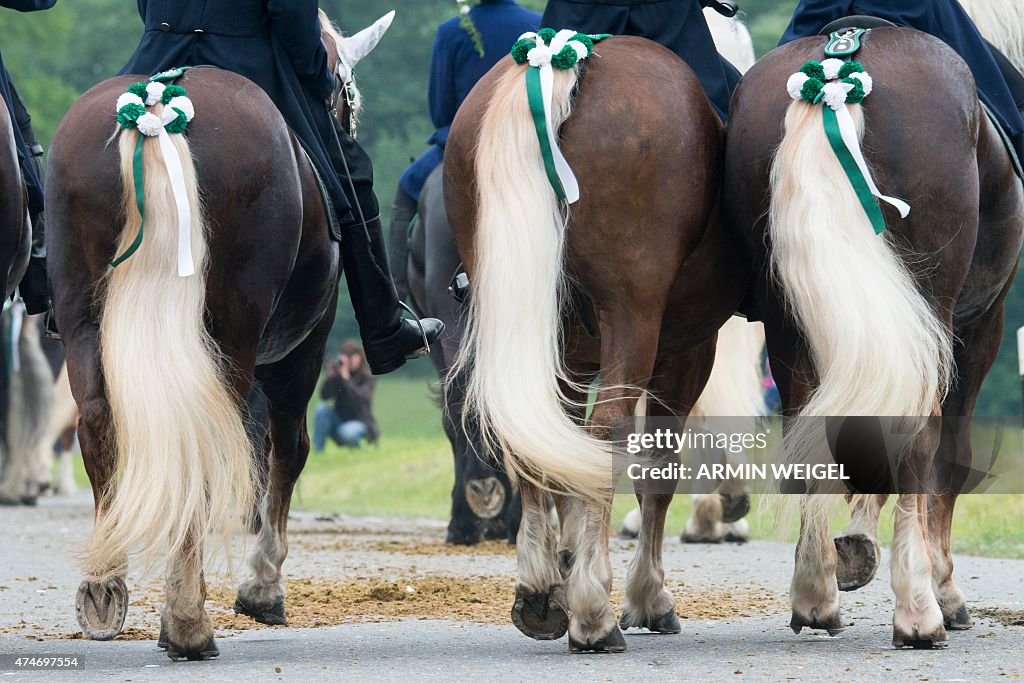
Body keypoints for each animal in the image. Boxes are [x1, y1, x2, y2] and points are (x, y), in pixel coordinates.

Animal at [44, 12, 389, 663]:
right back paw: (187, 622)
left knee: (98, 420)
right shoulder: (303, 350)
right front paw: (262, 586)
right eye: (346, 96)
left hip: (81, 317)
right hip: (235, 331)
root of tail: (156, 108)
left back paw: (104, 587)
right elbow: (287, 449)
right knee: (213, 439)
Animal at [444, 36, 749, 651]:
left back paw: (539, 591)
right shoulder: (685, 352)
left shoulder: (575, 356)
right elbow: (656, 467)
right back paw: (593, 612)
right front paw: (646, 595)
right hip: (635, 320)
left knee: (533, 435)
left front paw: (564, 562)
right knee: (608, 431)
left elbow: (563, 453)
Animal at [724, 25, 1019, 647]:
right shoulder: (981, 325)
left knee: (808, 423)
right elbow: (949, 455)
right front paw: (942, 585)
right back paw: (919, 610)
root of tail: (839, 66)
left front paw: (855, 545)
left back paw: (815, 594)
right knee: (920, 435)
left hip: (786, 322)